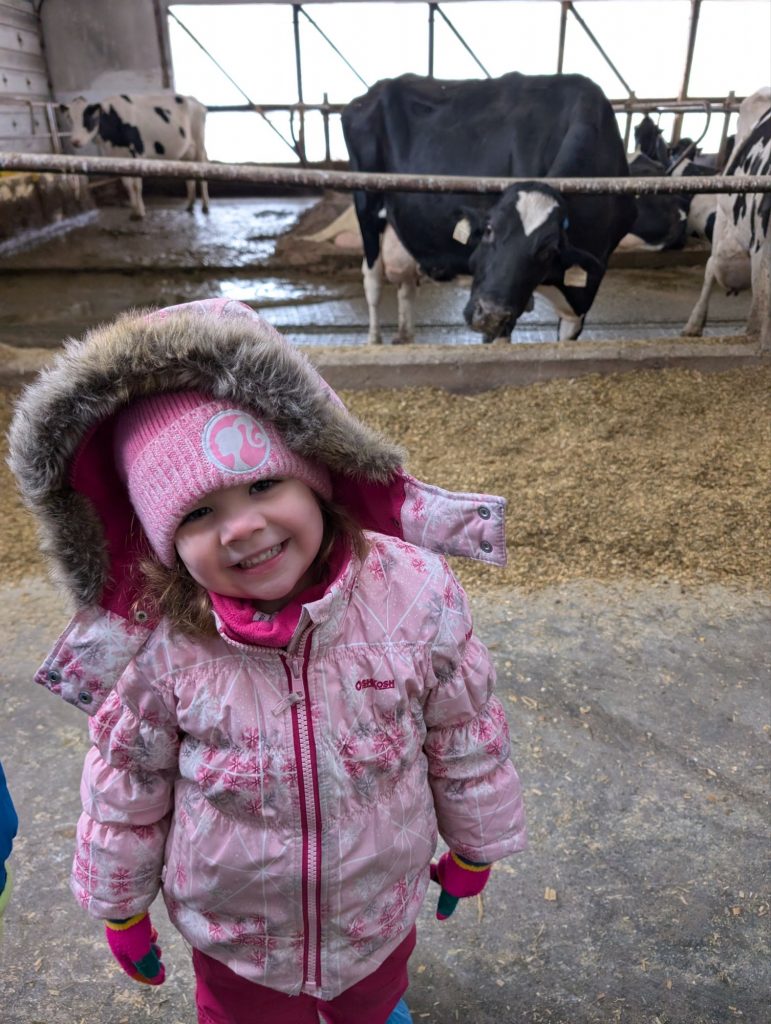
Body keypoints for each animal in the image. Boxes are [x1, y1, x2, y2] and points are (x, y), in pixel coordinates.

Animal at [59, 93, 209, 220]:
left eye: (89, 117)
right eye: (69, 118)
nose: (75, 141)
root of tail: (195, 101)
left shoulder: (137, 153)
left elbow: (137, 185)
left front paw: (140, 212)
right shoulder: (118, 158)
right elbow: (127, 185)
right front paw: (134, 211)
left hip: (199, 146)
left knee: (203, 172)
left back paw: (205, 206)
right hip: (187, 152)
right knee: (190, 175)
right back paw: (190, 205)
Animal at [342, 72, 636, 343]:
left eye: (549, 250)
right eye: (489, 230)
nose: (490, 314)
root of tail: (370, 93)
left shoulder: (580, 292)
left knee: (406, 284)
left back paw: (405, 336)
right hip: (367, 204)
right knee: (373, 280)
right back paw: (374, 340)